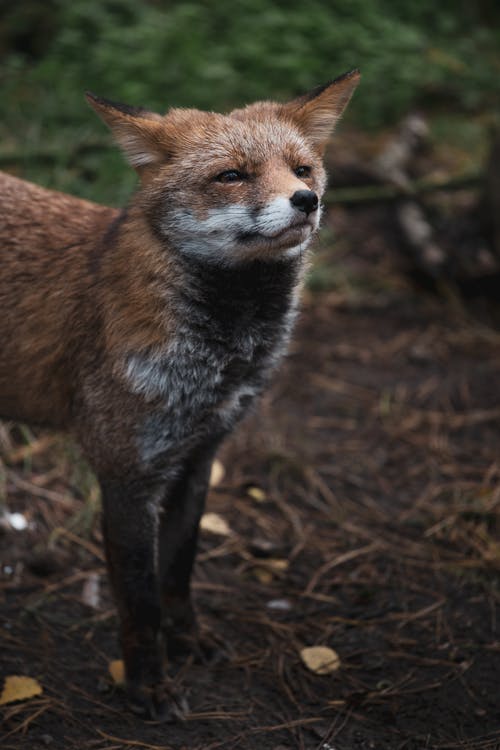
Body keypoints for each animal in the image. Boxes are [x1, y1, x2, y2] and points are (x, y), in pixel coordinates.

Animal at [0, 72, 360, 724]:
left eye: (302, 170)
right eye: (232, 175)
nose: (307, 201)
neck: (221, 360)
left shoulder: (199, 457)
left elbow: (178, 573)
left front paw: (189, 640)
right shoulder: (125, 472)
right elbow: (141, 602)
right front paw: (148, 684)